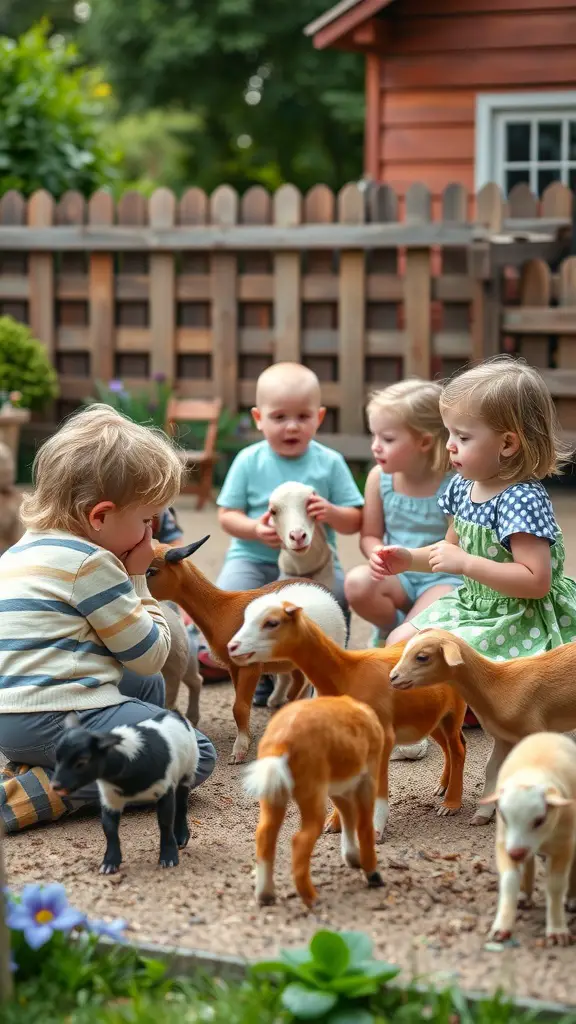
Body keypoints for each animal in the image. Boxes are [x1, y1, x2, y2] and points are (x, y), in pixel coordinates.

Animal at [147, 540, 344, 765]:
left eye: (152, 571)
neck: (222, 609)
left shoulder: (251, 666)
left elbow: (239, 707)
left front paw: (239, 750)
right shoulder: (234, 666)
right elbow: (240, 706)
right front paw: (246, 738)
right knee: (296, 683)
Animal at [226, 598, 463, 831]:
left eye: (272, 623)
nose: (232, 647)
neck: (348, 673)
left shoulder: (384, 735)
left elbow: (379, 782)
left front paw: (376, 826)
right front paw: (335, 823)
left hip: (455, 710)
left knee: (458, 749)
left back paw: (451, 804)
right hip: (432, 717)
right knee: (448, 747)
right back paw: (442, 787)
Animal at [241, 696, 381, 905]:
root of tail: (281, 743)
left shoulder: (339, 789)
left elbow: (347, 815)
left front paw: (353, 858)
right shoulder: (367, 780)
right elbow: (363, 825)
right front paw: (372, 874)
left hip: (274, 793)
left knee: (265, 834)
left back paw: (265, 895)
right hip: (311, 794)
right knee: (300, 840)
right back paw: (312, 898)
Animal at [387, 626, 576, 827]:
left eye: (422, 657)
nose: (393, 677)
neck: (498, 684)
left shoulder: (534, 730)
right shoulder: (502, 737)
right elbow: (491, 769)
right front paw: (483, 813)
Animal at [477, 737, 573, 942]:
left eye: (540, 820)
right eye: (503, 816)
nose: (516, 853)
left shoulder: (564, 845)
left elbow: (556, 885)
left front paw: (557, 929)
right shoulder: (504, 842)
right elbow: (509, 880)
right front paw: (501, 926)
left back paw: (571, 900)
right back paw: (524, 895)